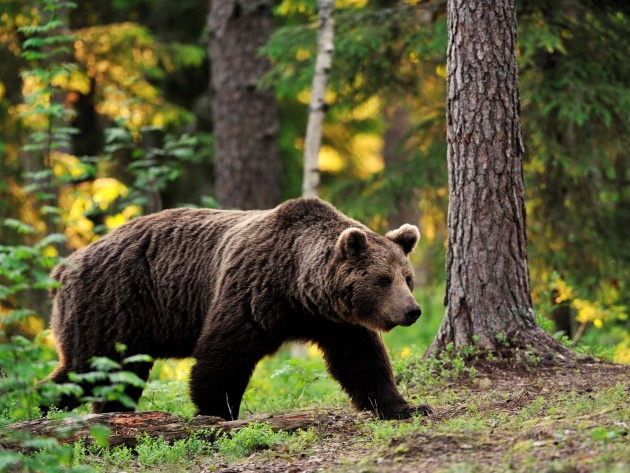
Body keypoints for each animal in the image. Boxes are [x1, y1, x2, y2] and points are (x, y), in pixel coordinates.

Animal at [45, 197, 430, 418]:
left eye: (407, 278)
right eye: (383, 279)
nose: (412, 310)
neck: (298, 287)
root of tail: (65, 266)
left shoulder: (335, 320)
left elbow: (362, 361)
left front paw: (408, 407)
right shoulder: (251, 290)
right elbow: (224, 353)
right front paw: (218, 412)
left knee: (117, 378)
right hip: (112, 305)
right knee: (88, 369)